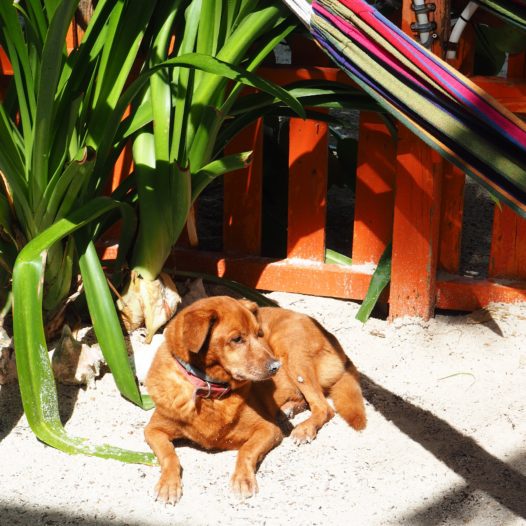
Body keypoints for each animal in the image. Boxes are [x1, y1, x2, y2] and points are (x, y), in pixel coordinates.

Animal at [144, 295, 366, 504]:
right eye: (236, 339)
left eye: (259, 334)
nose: (276, 367)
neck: (209, 390)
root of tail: (334, 340)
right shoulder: (153, 430)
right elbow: (169, 455)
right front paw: (168, 484)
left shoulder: (268, 429)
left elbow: (247, 451)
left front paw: (243, 479)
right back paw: (287, 409)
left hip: (292, 350)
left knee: (324, 407)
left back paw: (304, 429)